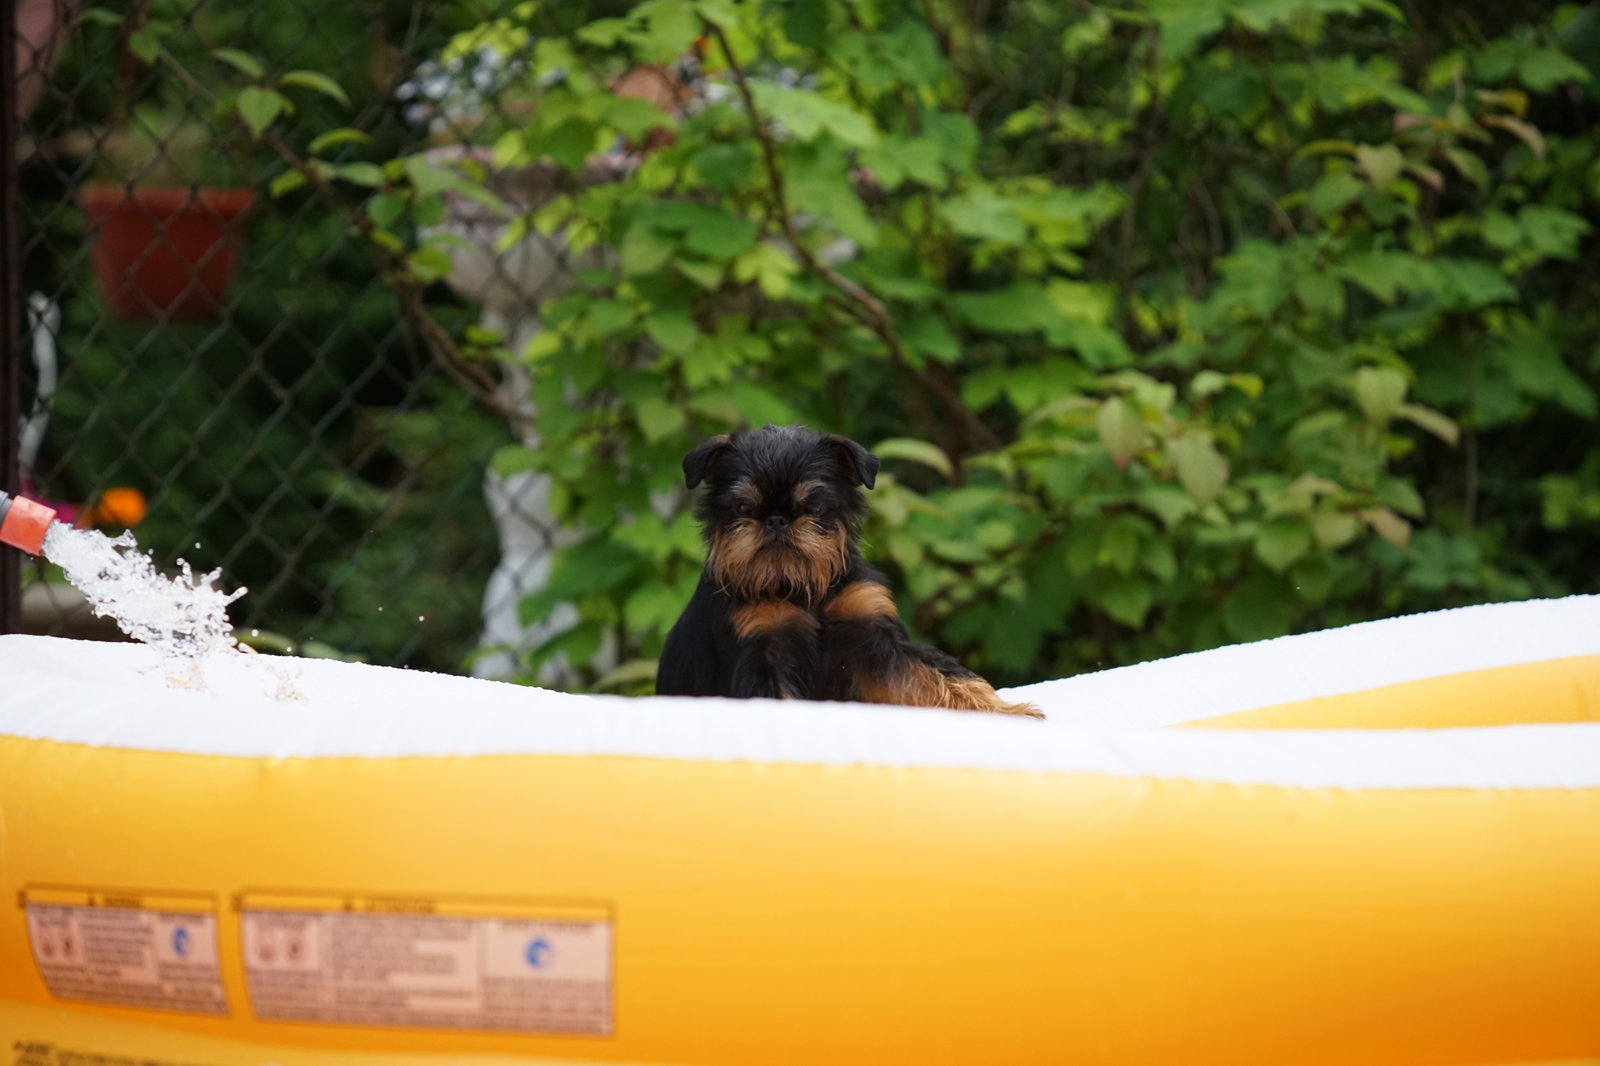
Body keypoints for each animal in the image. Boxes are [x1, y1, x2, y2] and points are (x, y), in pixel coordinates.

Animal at [656, 424, 1043, 718]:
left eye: (813, 506)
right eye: (743, 508)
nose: (776, 519)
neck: (799, 586)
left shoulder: (877, 637)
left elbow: (939, 676)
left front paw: (1006, 713)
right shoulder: (760, 655)